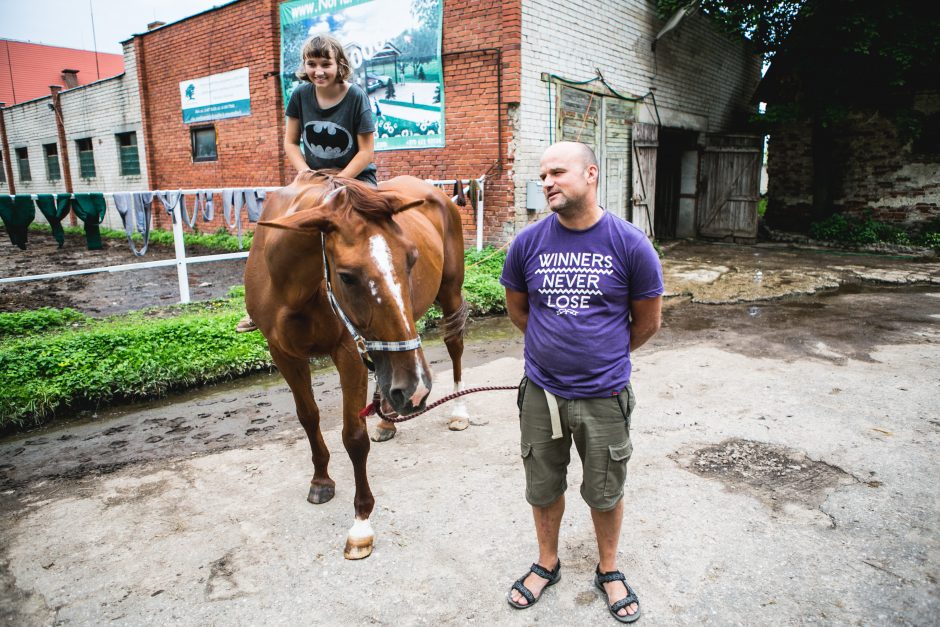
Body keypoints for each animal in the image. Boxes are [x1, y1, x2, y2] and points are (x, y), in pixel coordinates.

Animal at [242, 170, 470, 560]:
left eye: (411, 259)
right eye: (347, 276)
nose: (418, 390)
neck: (293, 288)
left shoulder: (348, 353)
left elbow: (353, 436)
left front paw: (361, 524)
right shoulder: (283, 354)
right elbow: (309, 417)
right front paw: (321, 479)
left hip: (449, 293)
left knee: (454, 347)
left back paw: (458, 412)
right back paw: (387, 419)